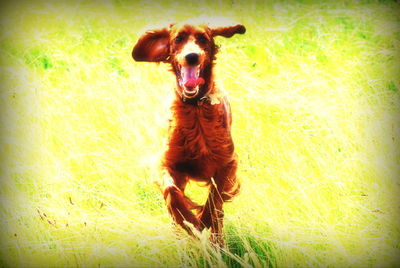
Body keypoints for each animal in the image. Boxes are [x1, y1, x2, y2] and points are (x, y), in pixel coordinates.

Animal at [132, 22, 244, 246]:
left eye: (203, 39)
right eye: (178, 39)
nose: (192, 56)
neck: (195, 108)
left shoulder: (226, 164)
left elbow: (215, 199)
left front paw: (202, 219)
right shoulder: (166, 162)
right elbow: (171, 192)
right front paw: (188, 219)